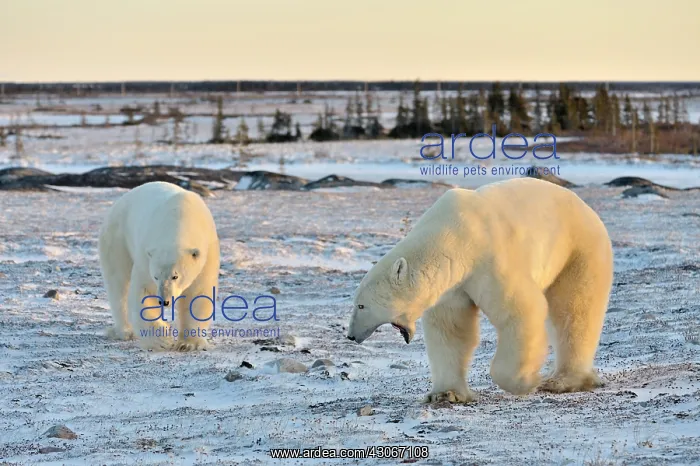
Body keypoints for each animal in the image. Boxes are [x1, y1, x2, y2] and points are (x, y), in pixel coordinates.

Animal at [98, 181, 220, 352]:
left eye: (175, 276)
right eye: (156, 276)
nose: (164, 301)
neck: (180, 217)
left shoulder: (208, 253)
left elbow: (198, 294)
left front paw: (189, 344)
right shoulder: (146, 257)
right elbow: (143, 292)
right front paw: (163, 339)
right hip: (118, 239)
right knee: (118, 283)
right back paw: (125, 331)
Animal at [346, 177, 613, 403]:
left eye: (361, 305)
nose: (350, 336)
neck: (454, 238)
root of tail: (585, 207)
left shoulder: (489, 259)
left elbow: (521, 311)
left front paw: (525, 382)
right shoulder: (452, 285)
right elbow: (451, 329)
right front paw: (445, 394)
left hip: (577, 250)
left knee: (575, 309)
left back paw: (563, 380)